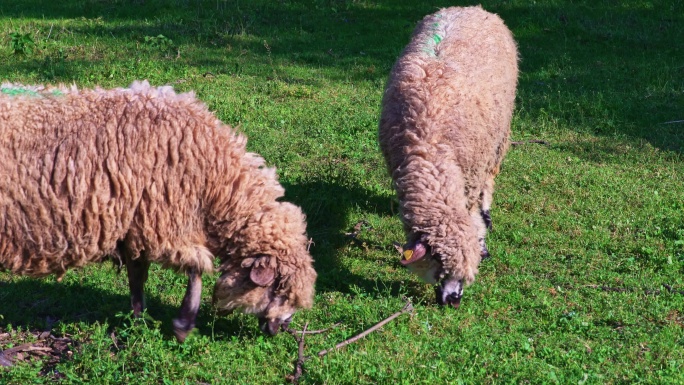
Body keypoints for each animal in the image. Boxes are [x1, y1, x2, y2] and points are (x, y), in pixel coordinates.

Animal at [0, 80, 316, 340]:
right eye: (277, 288)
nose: (280, 327)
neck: (213, 180)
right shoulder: (164, 223)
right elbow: (195, 269)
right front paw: (183, 325)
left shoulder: (137, 224)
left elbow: (138, 275)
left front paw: (138, 318)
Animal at [380, 5, 520, 306]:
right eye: (440, 262)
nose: (453, 300)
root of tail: (472, 8)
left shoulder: (470, 176)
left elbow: (473, 218)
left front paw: (482, 240)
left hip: (498, 138)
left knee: (490, 181)